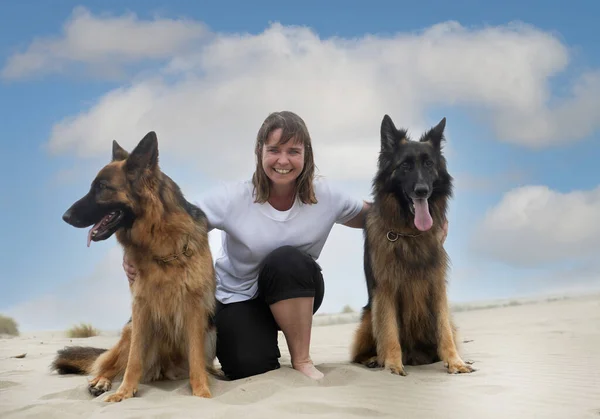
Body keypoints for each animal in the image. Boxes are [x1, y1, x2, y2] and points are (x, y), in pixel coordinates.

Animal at [54, 133, 220, 402]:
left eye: (102, 187)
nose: (65, 217)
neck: (160, 244)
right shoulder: (141, 307)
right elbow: (133, 360)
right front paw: (124, 392)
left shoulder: (194, 308)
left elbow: (196, 359)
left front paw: (201, 392)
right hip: (131, 330)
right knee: (111, 364)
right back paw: (101, 382)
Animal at [350, 115, 476, 378]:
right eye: (405, 166)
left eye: (428, 164)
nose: (422, 191)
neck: (409, 233)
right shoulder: (386, 290)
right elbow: (389, 332)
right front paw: (392, 364)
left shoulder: (436, 286)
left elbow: (444, 330)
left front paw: (455, 361)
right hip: (368, 315)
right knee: (359, 353)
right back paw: (375, 359)